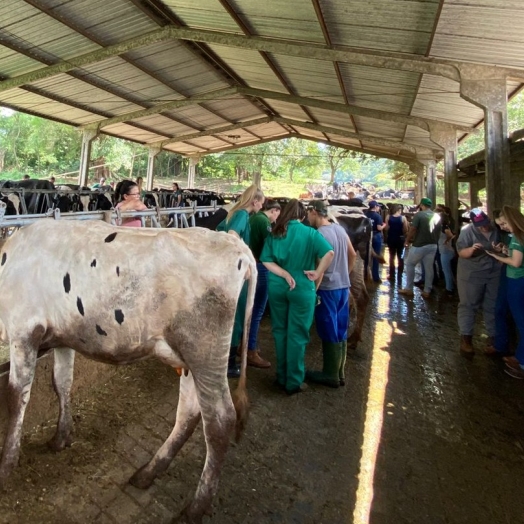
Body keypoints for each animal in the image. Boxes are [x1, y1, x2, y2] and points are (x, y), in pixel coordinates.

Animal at [0, 219, 256, 520]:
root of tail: (235, 243)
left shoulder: (24, 330)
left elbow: (16, 397)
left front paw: (6, 464)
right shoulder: (63, 337)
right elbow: (61, 383)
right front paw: (61, 437)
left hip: (204, 351)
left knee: (219, 419)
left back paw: (195, 507)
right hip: (190, 358)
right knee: (189, 410)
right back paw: (149, 472)